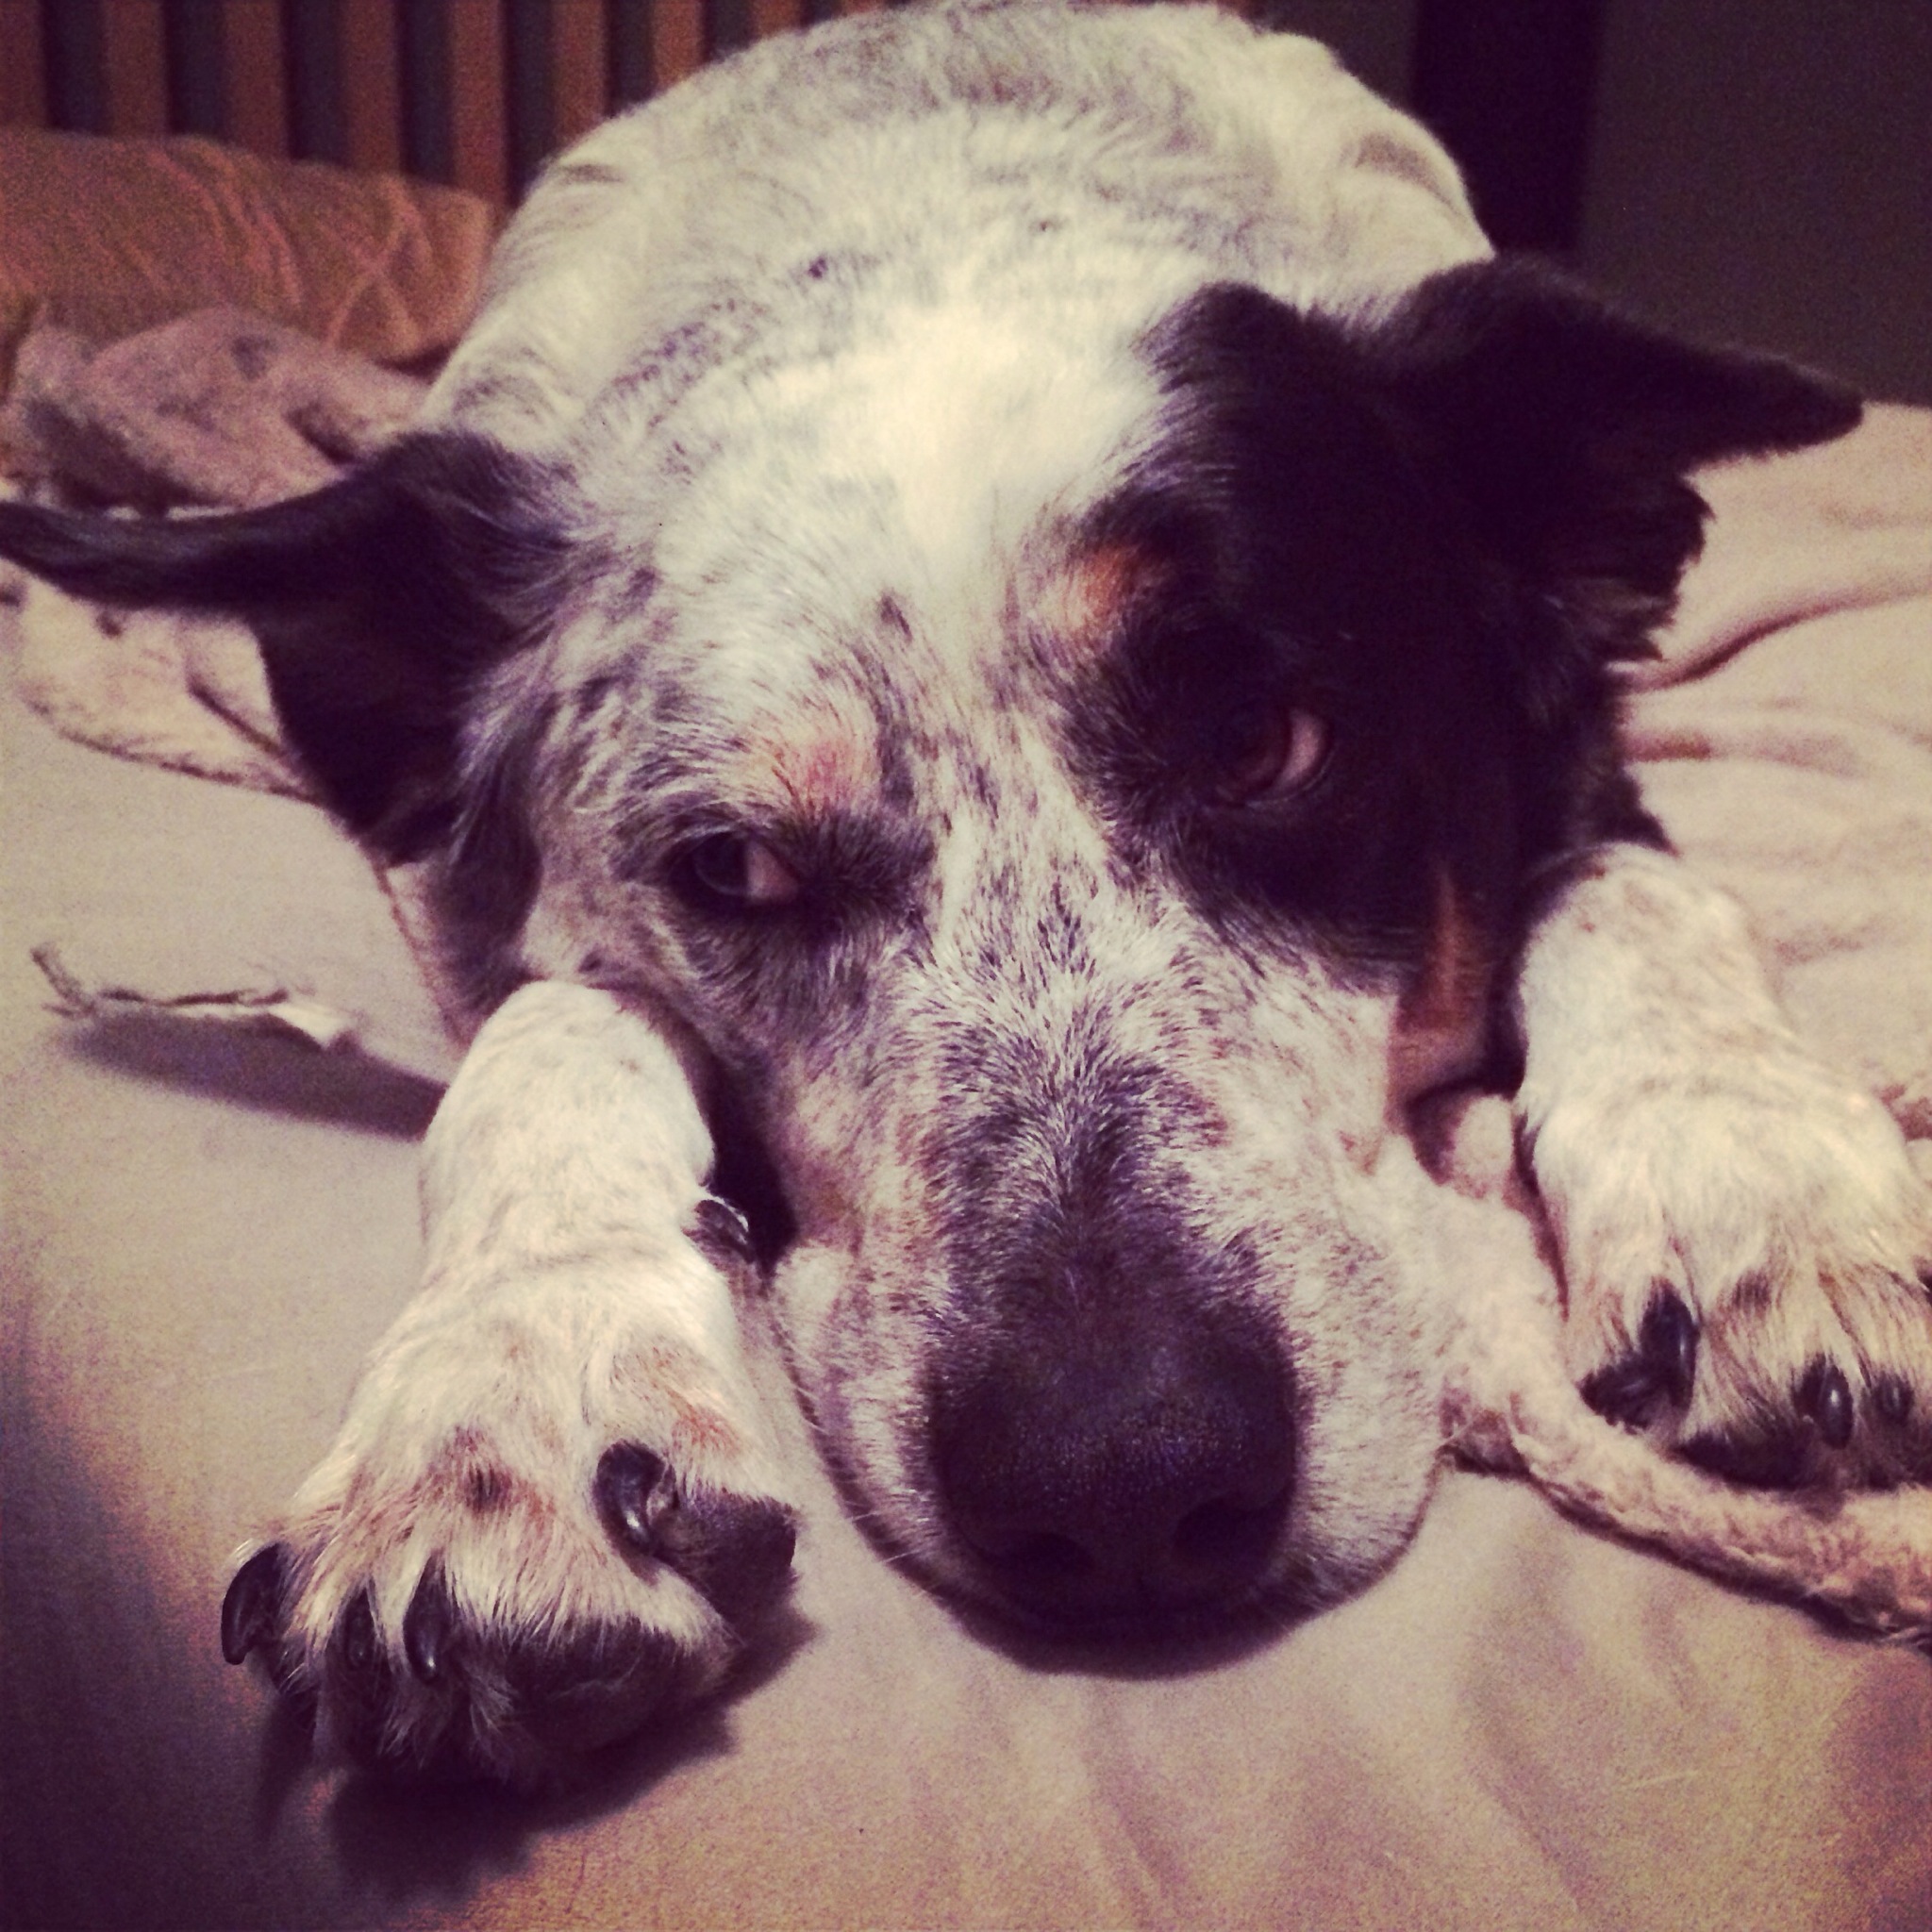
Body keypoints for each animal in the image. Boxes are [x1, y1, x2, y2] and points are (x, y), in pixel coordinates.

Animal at [3, 0, 1929, 1786]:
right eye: (736, 866)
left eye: (1266, 743)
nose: (1129, 1489)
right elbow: (555, 1030)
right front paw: (508, 1402)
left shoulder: (1580, 762)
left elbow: (1631, 891)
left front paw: (1764, 1186)